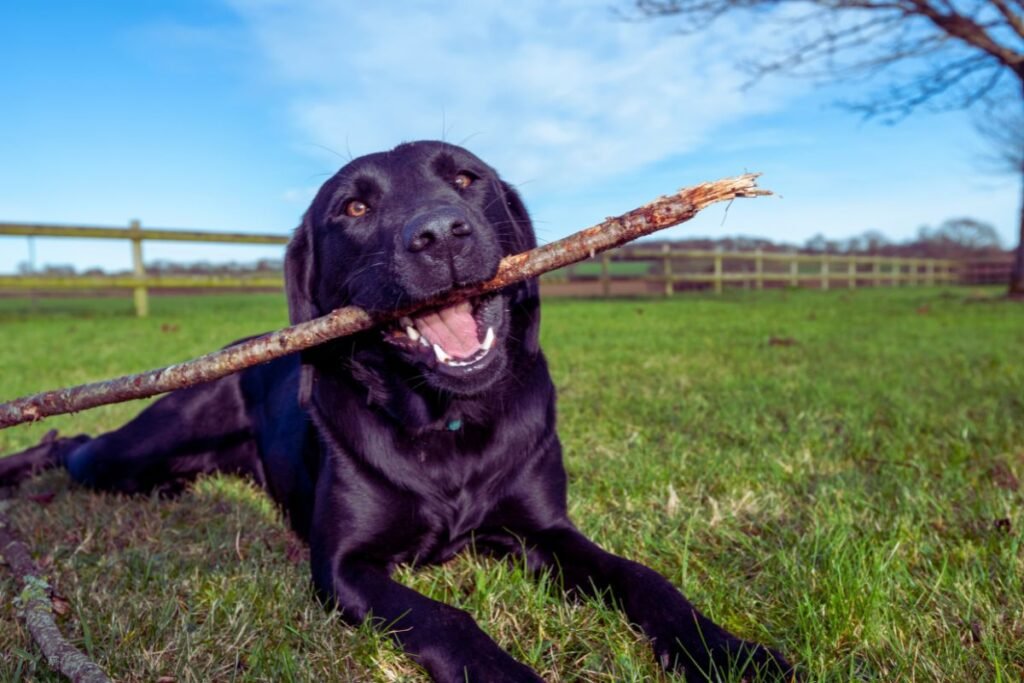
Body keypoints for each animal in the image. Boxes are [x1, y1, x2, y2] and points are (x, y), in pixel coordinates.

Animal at [0, 141, 794, 679]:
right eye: (354, 207)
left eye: (467, 179)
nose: (440, 234)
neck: (446, 422)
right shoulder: (345, 566)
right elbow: (448, 616)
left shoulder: (547, 531)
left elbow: (643, 578)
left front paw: (731, 651)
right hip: (132, 452)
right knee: (74, 438)